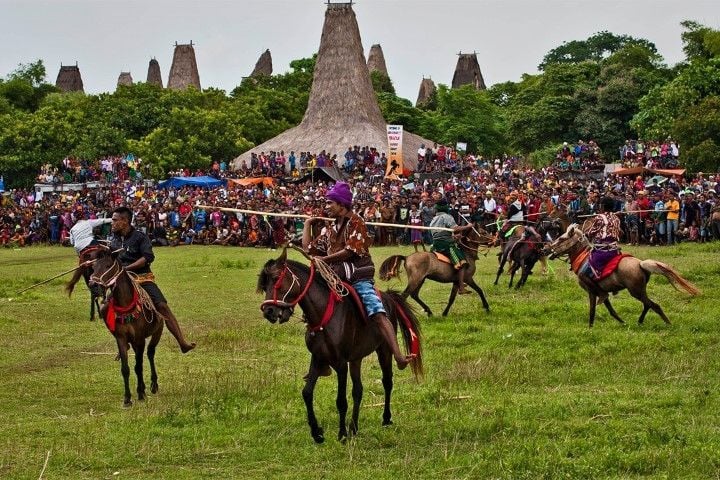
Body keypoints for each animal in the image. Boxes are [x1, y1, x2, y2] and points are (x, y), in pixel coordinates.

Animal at [88, 246, 165, 406]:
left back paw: (153, 385)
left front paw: (141, 393)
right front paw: (128, 398)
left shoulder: (140, 339)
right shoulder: (121, 339)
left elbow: (138, 366)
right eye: (94, 266)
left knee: (150, 353)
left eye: (107, 266)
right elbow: (126, 369)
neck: (126, 305)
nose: (93, 285)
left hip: (157, 332)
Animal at [258, 249, 422, 444]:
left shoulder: (341, 363)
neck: (323, 313)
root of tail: (388, 297)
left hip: (384, 350)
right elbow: (307, 393)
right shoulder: (318, 358)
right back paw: (354, 427)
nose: (269, 312)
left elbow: (341, 400)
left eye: (276, 278)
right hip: (357, 358)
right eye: (264, 284)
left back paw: (386, 418)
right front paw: (317, 432)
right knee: (358, 390)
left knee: (387, 381)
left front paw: (341, 434)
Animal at [548, 224, 700, 326]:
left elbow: (592, 310)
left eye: (561, 239)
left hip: (635, 291)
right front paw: (622, 322)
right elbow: (610, 309)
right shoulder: (600, 291)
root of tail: (640, 264)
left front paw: (590, 327)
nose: (547, 249)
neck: (582, 258)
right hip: (639, 291)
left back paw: (667, 323)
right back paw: (640, 321)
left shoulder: (591, 290)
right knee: (648, 305)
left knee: (654, 305)